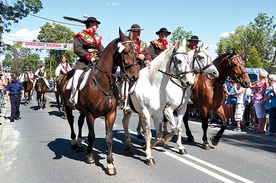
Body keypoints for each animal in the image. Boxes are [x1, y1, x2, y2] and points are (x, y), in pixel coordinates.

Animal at [59, 29, 139, 176]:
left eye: (135, 52)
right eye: (125, 52)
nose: (135, 76)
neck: (103, 82)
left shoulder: (110, 114)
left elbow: (109, 138)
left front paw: (110, 163)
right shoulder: (91, 114)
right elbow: (91, 135)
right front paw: (90, 156)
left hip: (82, 110)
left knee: (79, 122)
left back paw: (80, 144)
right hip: (69, 106)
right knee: (71, 121)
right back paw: (73, 142)